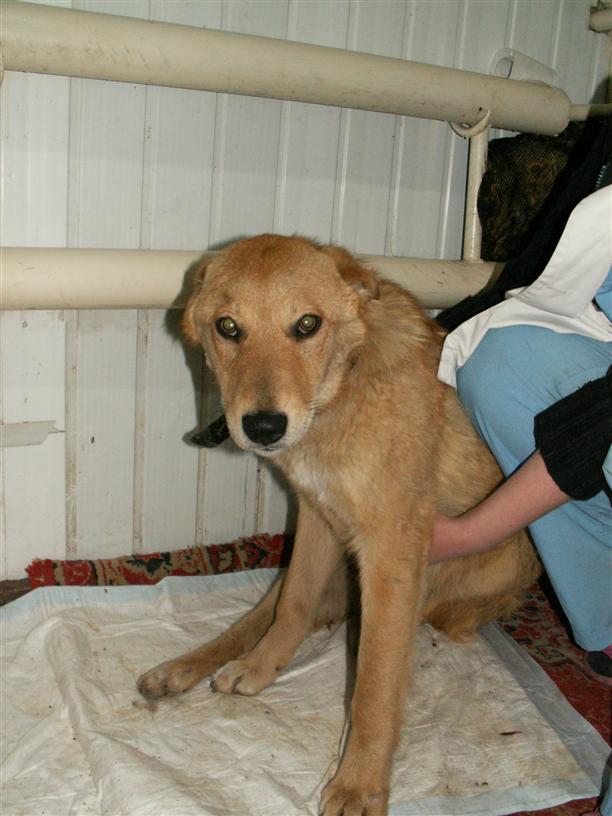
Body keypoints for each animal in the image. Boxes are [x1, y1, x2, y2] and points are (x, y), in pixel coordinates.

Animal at [138, 234, 540, 816]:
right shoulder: (316, 520)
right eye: (228, 327)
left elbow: (373, 684)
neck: (340, 391)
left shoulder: (390, 555)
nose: (263, 427)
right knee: (261, 619)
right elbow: (292, 609)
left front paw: (359, 786)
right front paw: (262, 668)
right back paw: (183, 669)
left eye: (307, 324)